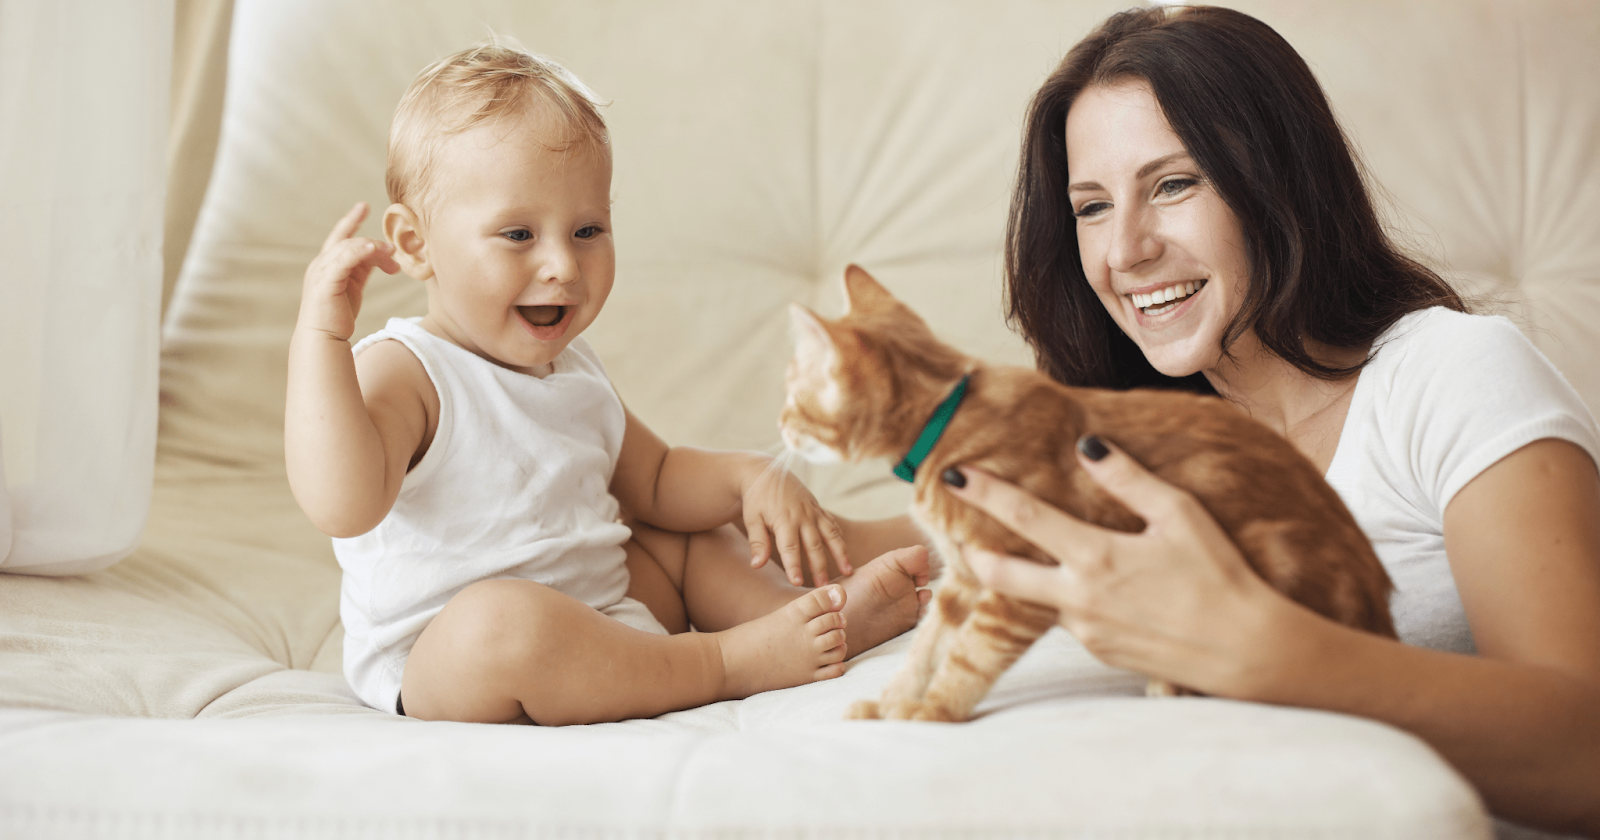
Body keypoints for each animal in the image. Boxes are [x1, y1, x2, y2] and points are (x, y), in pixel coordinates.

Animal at [780, 267, 1395, 720]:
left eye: (791, 397)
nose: (780, 426)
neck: (946, 417)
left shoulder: (1025, 577)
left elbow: (970, 655)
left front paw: (934, 711)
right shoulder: (963, 576)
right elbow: (926, 644)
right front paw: (890, 702)